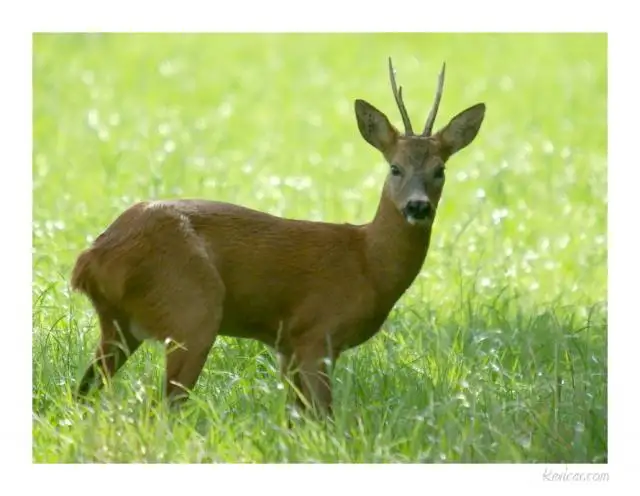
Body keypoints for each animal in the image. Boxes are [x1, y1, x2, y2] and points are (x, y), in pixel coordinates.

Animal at [70, 58, 485, 417]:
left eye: (440, 170)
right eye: (395, 168)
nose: (417, 207)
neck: (368, 262)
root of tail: (90, 260)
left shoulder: (287, 346)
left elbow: (296, 419)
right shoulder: (317, 334)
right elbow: (324, 418)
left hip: (121, 325)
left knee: (83, 391)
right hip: (191, 310)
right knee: (163, 409)